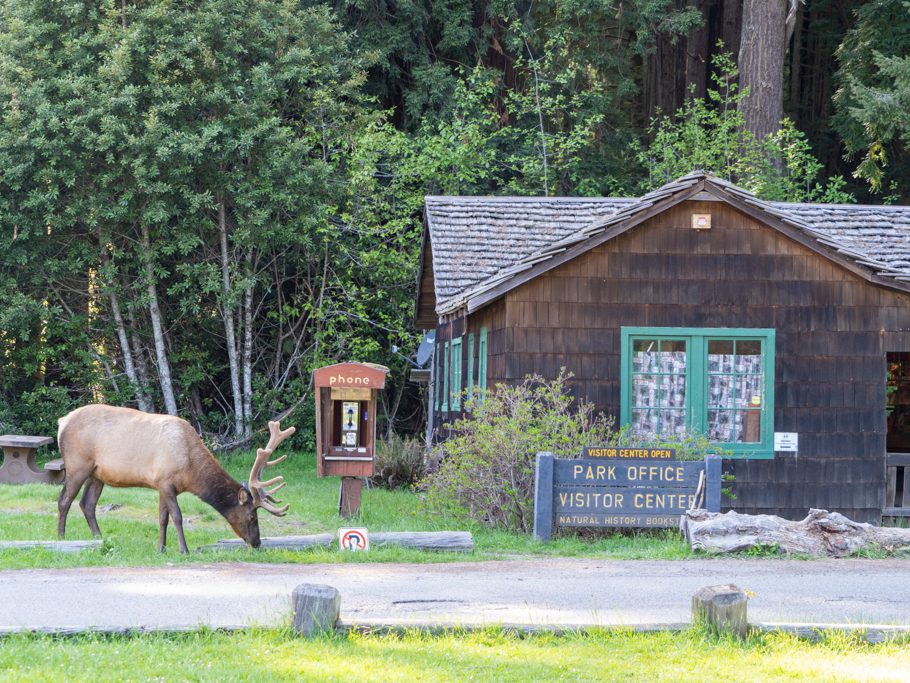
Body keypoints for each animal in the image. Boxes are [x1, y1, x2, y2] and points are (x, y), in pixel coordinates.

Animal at [55, 406, 296, 556]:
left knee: (87, 504)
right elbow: (178, 517)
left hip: (97, 474)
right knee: (64, 499)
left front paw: (161, 548)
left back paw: (100, 538)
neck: (190, 470)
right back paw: (61, 538)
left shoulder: (162, 485)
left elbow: (163, 518)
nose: (257, 543)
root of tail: (61, 422)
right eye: (252, 517)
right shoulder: (166, 481)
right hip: (77, 465)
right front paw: (183, 549)